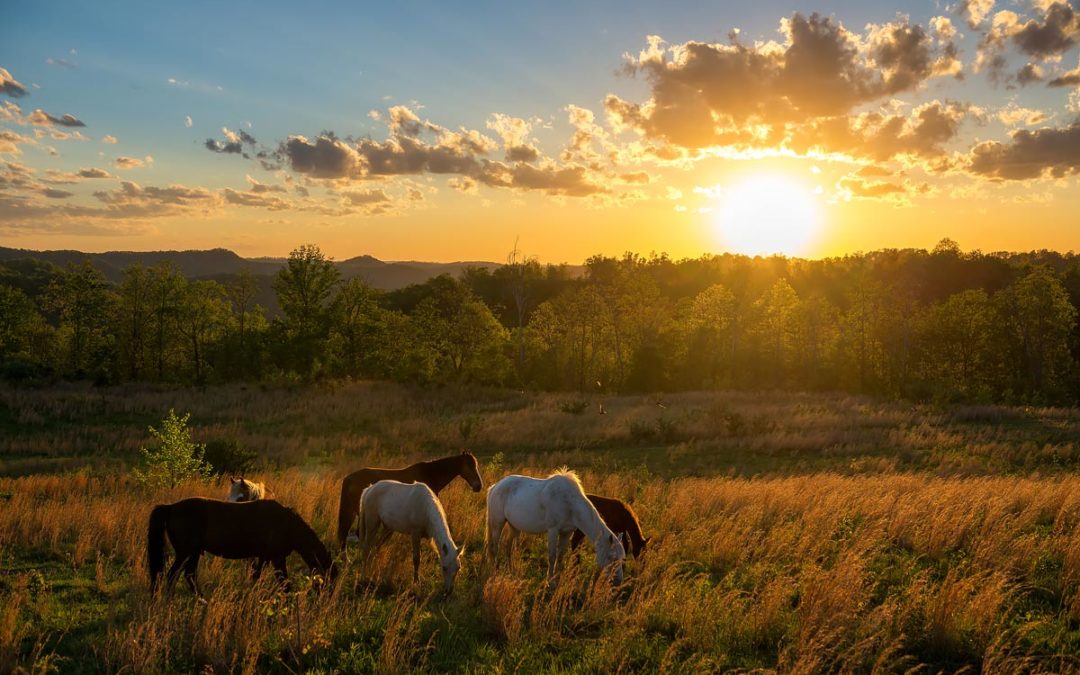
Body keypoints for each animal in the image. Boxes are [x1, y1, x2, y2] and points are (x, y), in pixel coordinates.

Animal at [147, 494, 332, 596]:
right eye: (330, 577)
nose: (328, 599)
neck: (287, 523)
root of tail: (171, 507)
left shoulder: (265, 557)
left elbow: (256, 576)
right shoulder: (277, 558)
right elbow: (284, 582)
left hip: (192, 554)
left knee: (188, 575)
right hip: (186, 553)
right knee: (173, 575)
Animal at [334, 449, 483, 550]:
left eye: (476, 465)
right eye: (470, 466)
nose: (478, 486)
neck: (429, 474)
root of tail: (349, 478)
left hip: (352, 512)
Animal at [488, 468, 630, 583]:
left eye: (622, 558)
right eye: (612, 558)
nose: (618, 581)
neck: (569, 504)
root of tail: (495, 486)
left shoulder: (567, 532)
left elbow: (560, 556)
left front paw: (557, 580)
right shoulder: (553, 530)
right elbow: (552, 556)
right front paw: (549, 582)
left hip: (514, 526)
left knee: (508, 547)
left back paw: (511, 572)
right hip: (497, 524)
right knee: (495, 547)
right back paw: (494, 574)